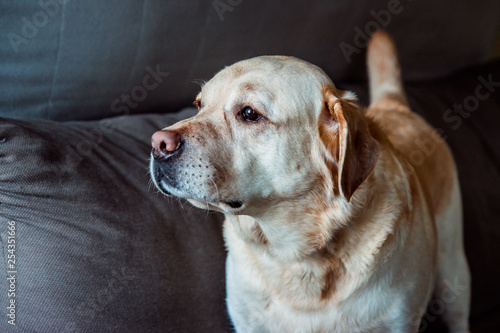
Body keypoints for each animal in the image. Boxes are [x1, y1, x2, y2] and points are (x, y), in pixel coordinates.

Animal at [150, 31, 470, 332]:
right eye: (198, 105)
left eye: (250, 113)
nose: (157, 144)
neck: (293, 254)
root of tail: (394, 106)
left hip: (453, 272)